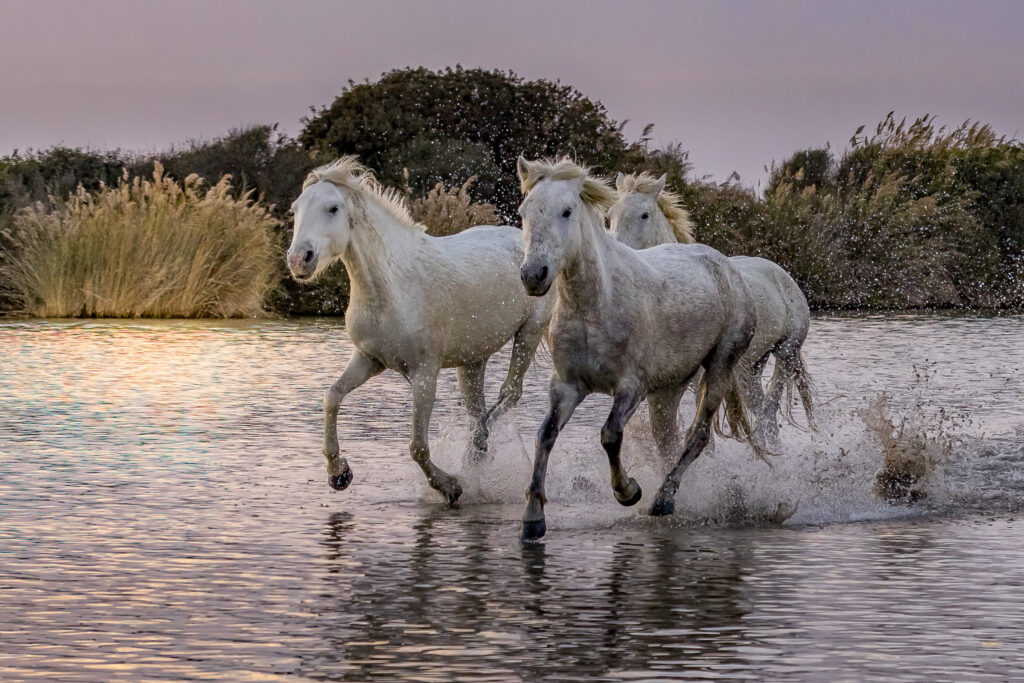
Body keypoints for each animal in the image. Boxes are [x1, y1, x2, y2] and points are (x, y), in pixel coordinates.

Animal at [286, 157, 552, 505]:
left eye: (332, 208)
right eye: (295, 209)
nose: (298, 260)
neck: (393, 286)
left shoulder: (425, 372)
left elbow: (418, 446)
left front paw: (450, 486)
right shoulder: (369, 359)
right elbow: (332, 397)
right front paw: (339, 474)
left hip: (529, 333)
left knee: (509, 394)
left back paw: (476, 451)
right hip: (472, 359)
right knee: (476, 410)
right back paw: (476, 456)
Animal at [515, 157, 766, 540]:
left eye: (567, 211)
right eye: (524, 211)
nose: (533, 275)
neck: (595, 304)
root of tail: (726, 266)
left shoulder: (631, 386)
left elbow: (610, 435)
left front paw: (628, 491)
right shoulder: (566, 386)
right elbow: (545, 436)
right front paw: (532, 519)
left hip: (721, 365)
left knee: (697, 436)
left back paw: (663, 500)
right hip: (668, 388)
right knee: (667, 439)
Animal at [608, 172, 814, 448]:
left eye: (645, 215)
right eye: (610, 214)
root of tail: (783, 275)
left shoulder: (697, 382)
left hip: (787, 352)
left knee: (769, 411)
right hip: (751, 369)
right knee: (764, 414)